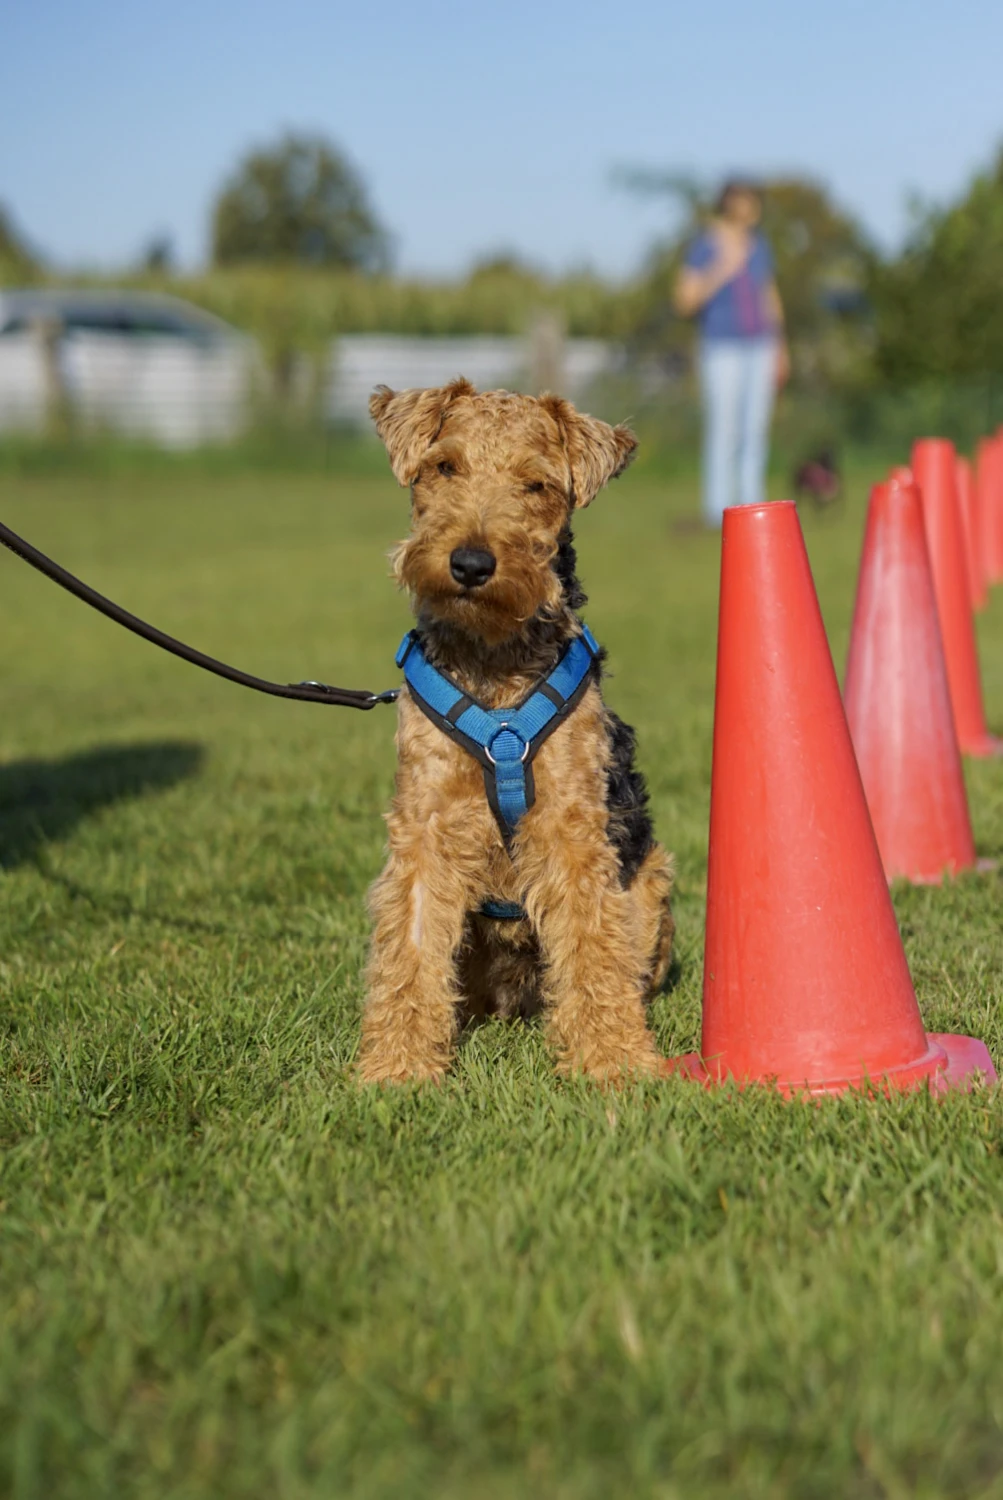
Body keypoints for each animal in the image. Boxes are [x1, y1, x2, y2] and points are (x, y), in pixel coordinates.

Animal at [355, 375, 668, 1080]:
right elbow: (410, 946)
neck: (493, 664)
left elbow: (591, 943)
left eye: (536, 485)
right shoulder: (426, 824)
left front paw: (614, 1061)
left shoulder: (570, 825)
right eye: (444, 466)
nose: (471, 564)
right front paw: (397, 1068)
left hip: (651, 883)